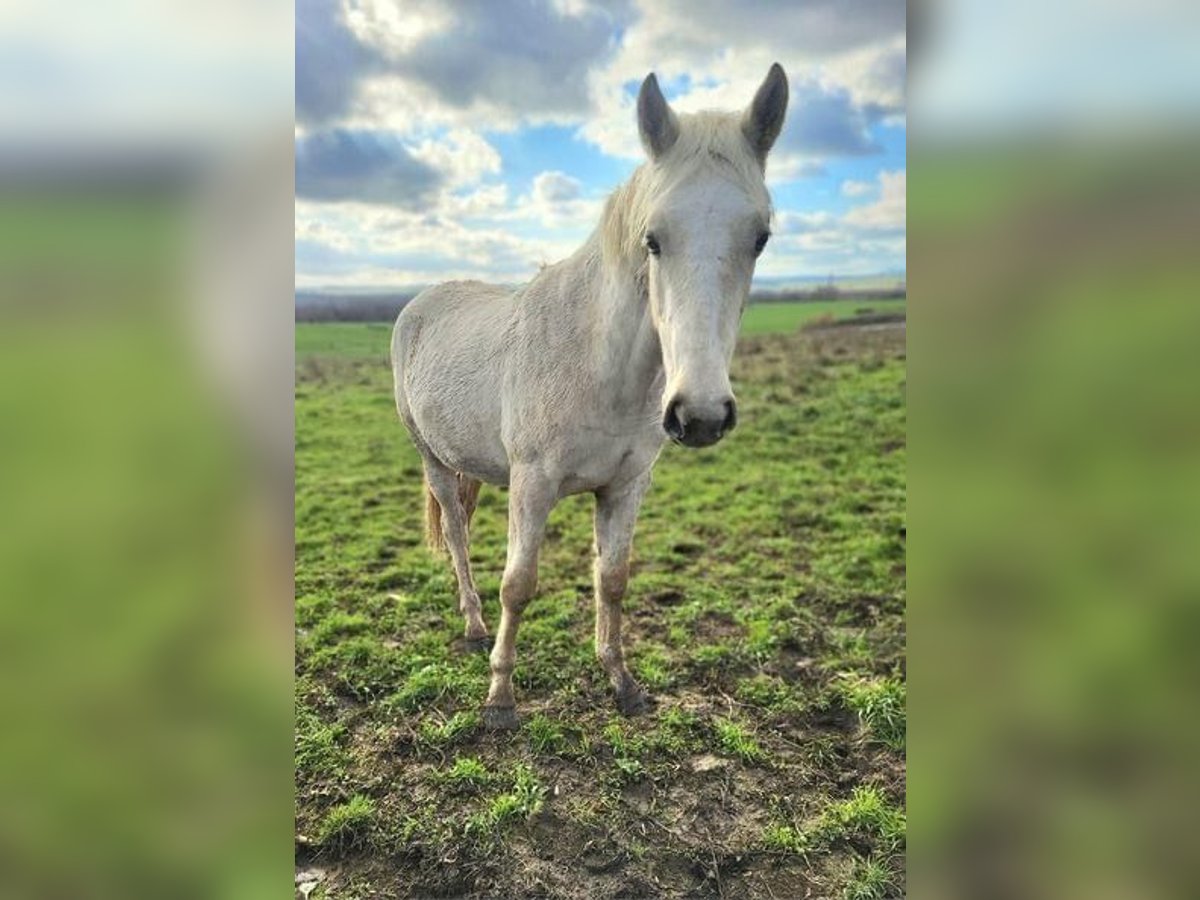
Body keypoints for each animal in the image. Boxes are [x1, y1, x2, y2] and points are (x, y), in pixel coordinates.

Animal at [391, 65, 787, 734]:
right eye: (653, 240)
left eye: (759, 237)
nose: (701, 414)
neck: (599, 366)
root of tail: (422, 301)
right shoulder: (533, 485)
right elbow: (518, 585)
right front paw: (500, 699)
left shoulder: (625, 486)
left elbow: (612, 579)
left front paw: (621, 682)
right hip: (432, 459)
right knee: (456, 533)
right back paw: (472, 625)